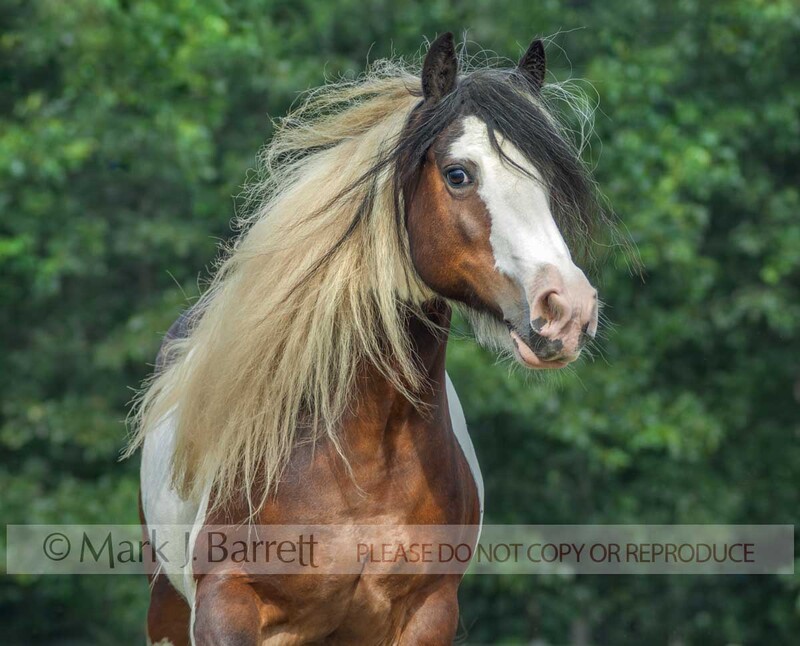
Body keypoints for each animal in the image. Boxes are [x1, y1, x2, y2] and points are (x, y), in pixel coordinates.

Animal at [129, 32, 607, 645]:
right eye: (458, 173)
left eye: (546, 182)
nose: (567, 308)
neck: (358, 453)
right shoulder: (225, 603)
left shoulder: (428, 611)